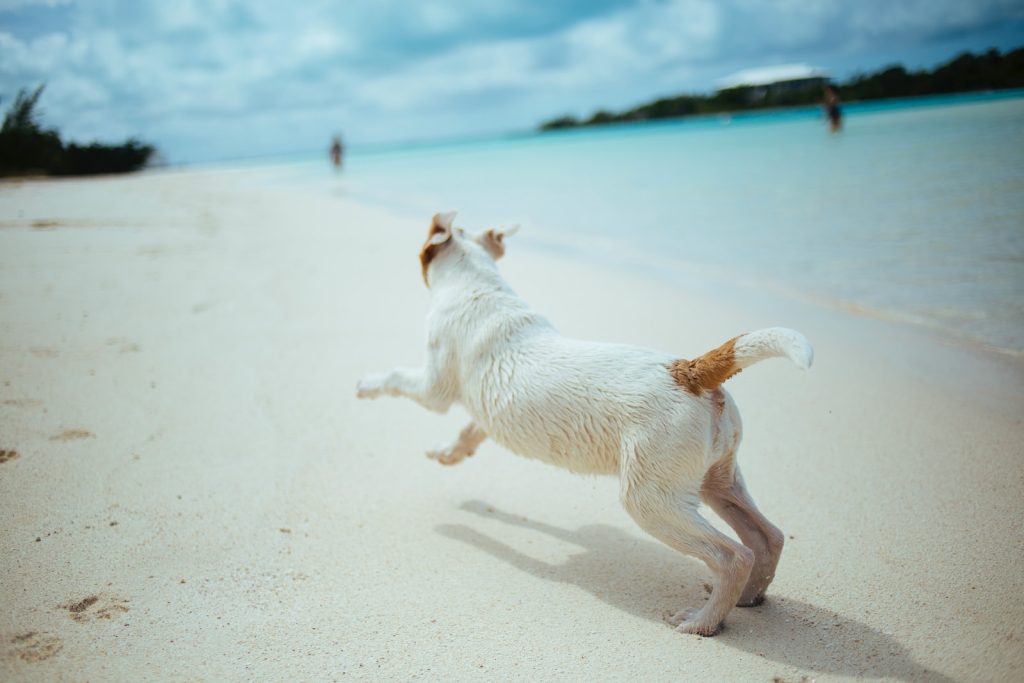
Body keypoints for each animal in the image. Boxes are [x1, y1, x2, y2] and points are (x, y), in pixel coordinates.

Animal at [356, 211, 811, 634]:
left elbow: (397, 378)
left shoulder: (433, 387)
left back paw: (702, 621)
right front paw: (448, 453)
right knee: (767, 537)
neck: (478, 285)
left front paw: (365, 385)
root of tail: (688, 371)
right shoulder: (486, 410)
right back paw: (749, 598)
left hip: (651, 499)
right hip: (716, 481)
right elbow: (471, 430)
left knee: (732, 555)